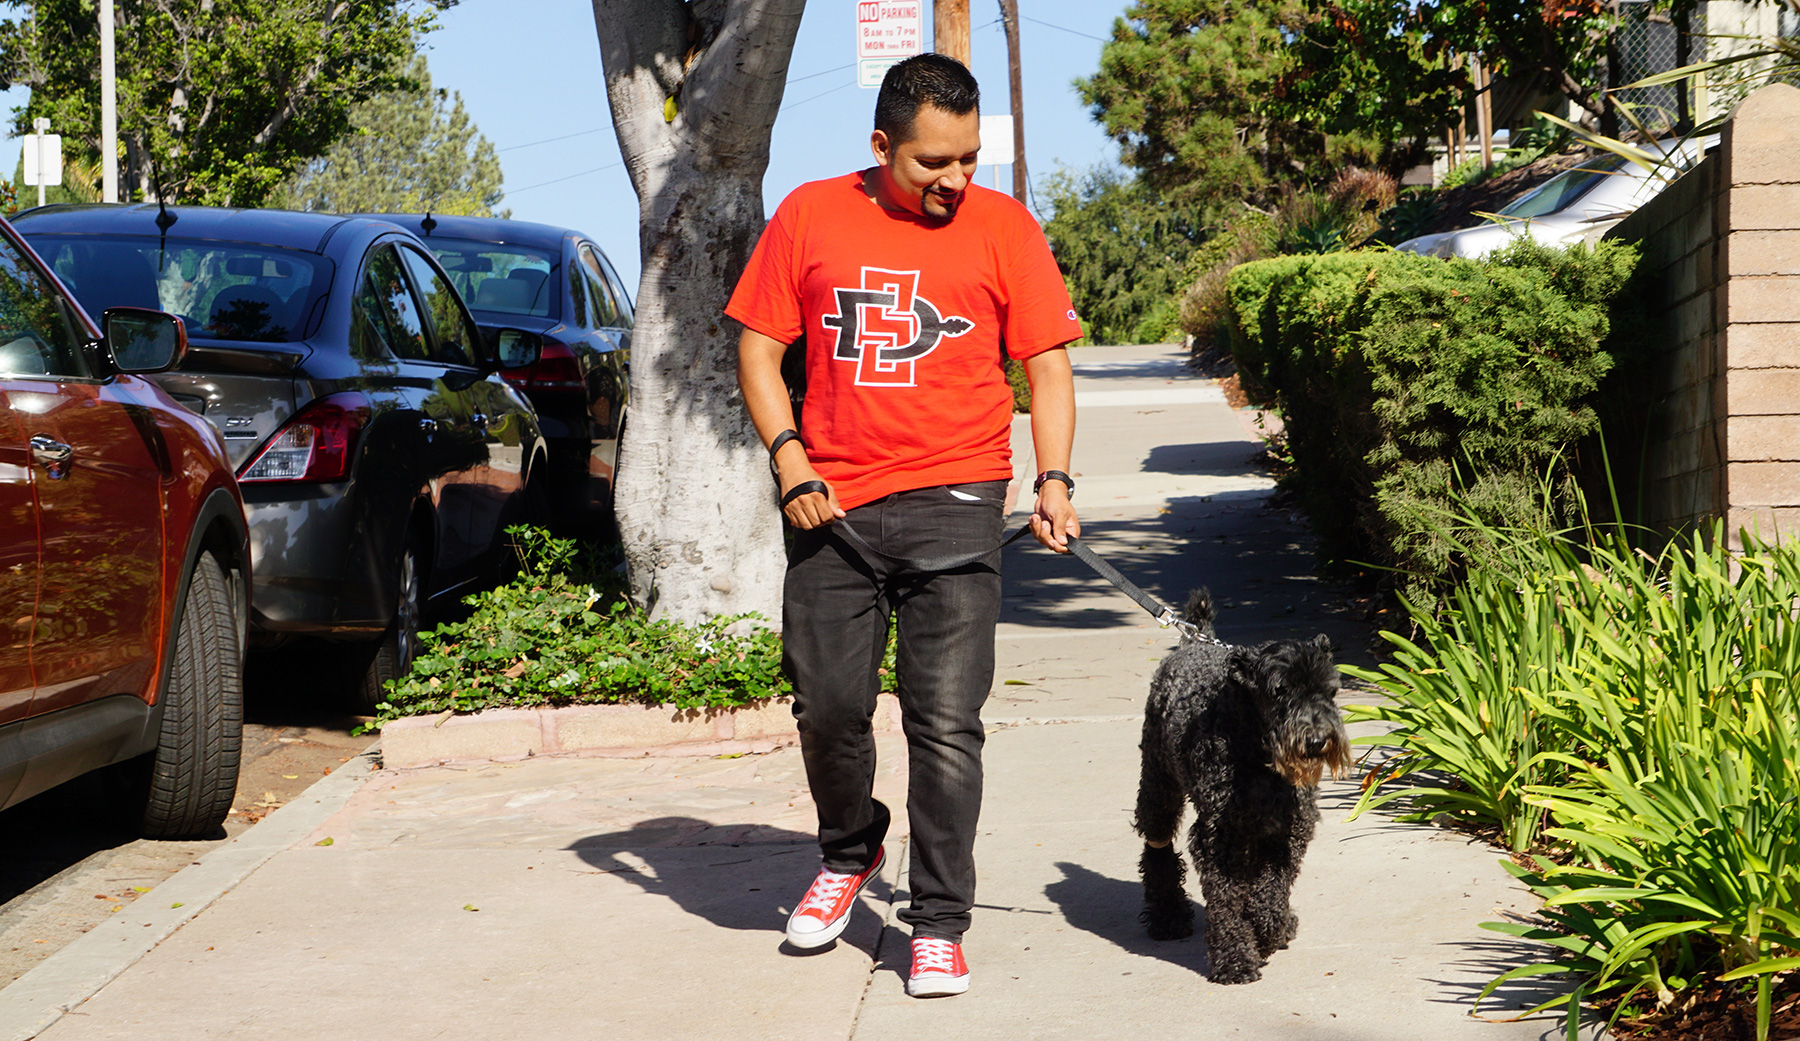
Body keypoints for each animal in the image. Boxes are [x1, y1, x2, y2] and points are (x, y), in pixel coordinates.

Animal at [1130, 590, 1346, 979]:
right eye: (1279, 691)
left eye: (1330, 690)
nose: (1317, 740)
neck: (1257, 754)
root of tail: (1194, 641)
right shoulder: (1220, 836)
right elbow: (1227, 898)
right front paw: (1235, 958)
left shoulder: (1288, 829)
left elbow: (1272, 888)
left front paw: (1270, 927)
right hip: (1158, 789)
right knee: (1158, 849)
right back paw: (1168, 917)